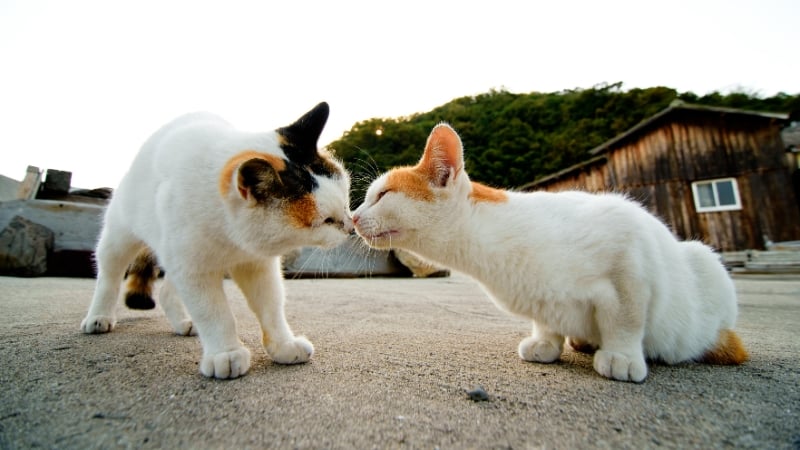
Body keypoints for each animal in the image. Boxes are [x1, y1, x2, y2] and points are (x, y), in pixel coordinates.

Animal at [82, 103, 354, 380]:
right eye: (326, 221)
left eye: (345, 203)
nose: (351, 227)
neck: (232, 236)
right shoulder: (193, 269)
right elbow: (213, 312)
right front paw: (226, 353)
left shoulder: (257, 265)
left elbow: (271, 306)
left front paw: (284, 345)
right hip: (120, 238)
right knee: (109, 277)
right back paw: (99, 316)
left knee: (167, 292)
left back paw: (182, 323)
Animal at [354, 124, 748, 384]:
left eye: (383, 195)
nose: (354, 216)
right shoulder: (542, 298)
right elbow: (547, 320)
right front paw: (546, 343)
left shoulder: (628, 253)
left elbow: (625, 318)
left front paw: (621, 355)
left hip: (703, 261)